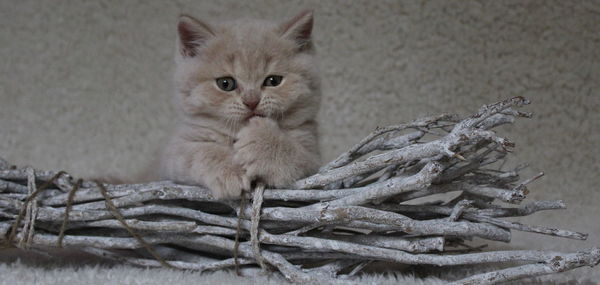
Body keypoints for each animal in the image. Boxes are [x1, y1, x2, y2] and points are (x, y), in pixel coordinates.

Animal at [157, 10, 322, 197]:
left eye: (273, 81)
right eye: (225, 83)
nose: (251, 101)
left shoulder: (313, 159)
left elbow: (295, 155)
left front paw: (261, 142)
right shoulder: (173, 153)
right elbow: (201, 151)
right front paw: (230, 172)